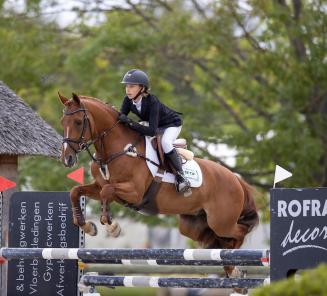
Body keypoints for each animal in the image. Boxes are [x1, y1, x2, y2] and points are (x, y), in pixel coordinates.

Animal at [58, 93, 258, 278]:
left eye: (78, 122)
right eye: (62, 121)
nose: (67, 159)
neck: (116, 150)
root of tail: (236, 179)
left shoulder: (135, 192)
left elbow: (107, 192)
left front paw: (112, 226)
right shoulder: (100, 187)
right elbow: (76, 191)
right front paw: (86, 226)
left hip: (221, 221)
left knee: (238, 232)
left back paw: (234, 267)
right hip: (192, 224)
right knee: (219, 240)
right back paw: (231, 269)